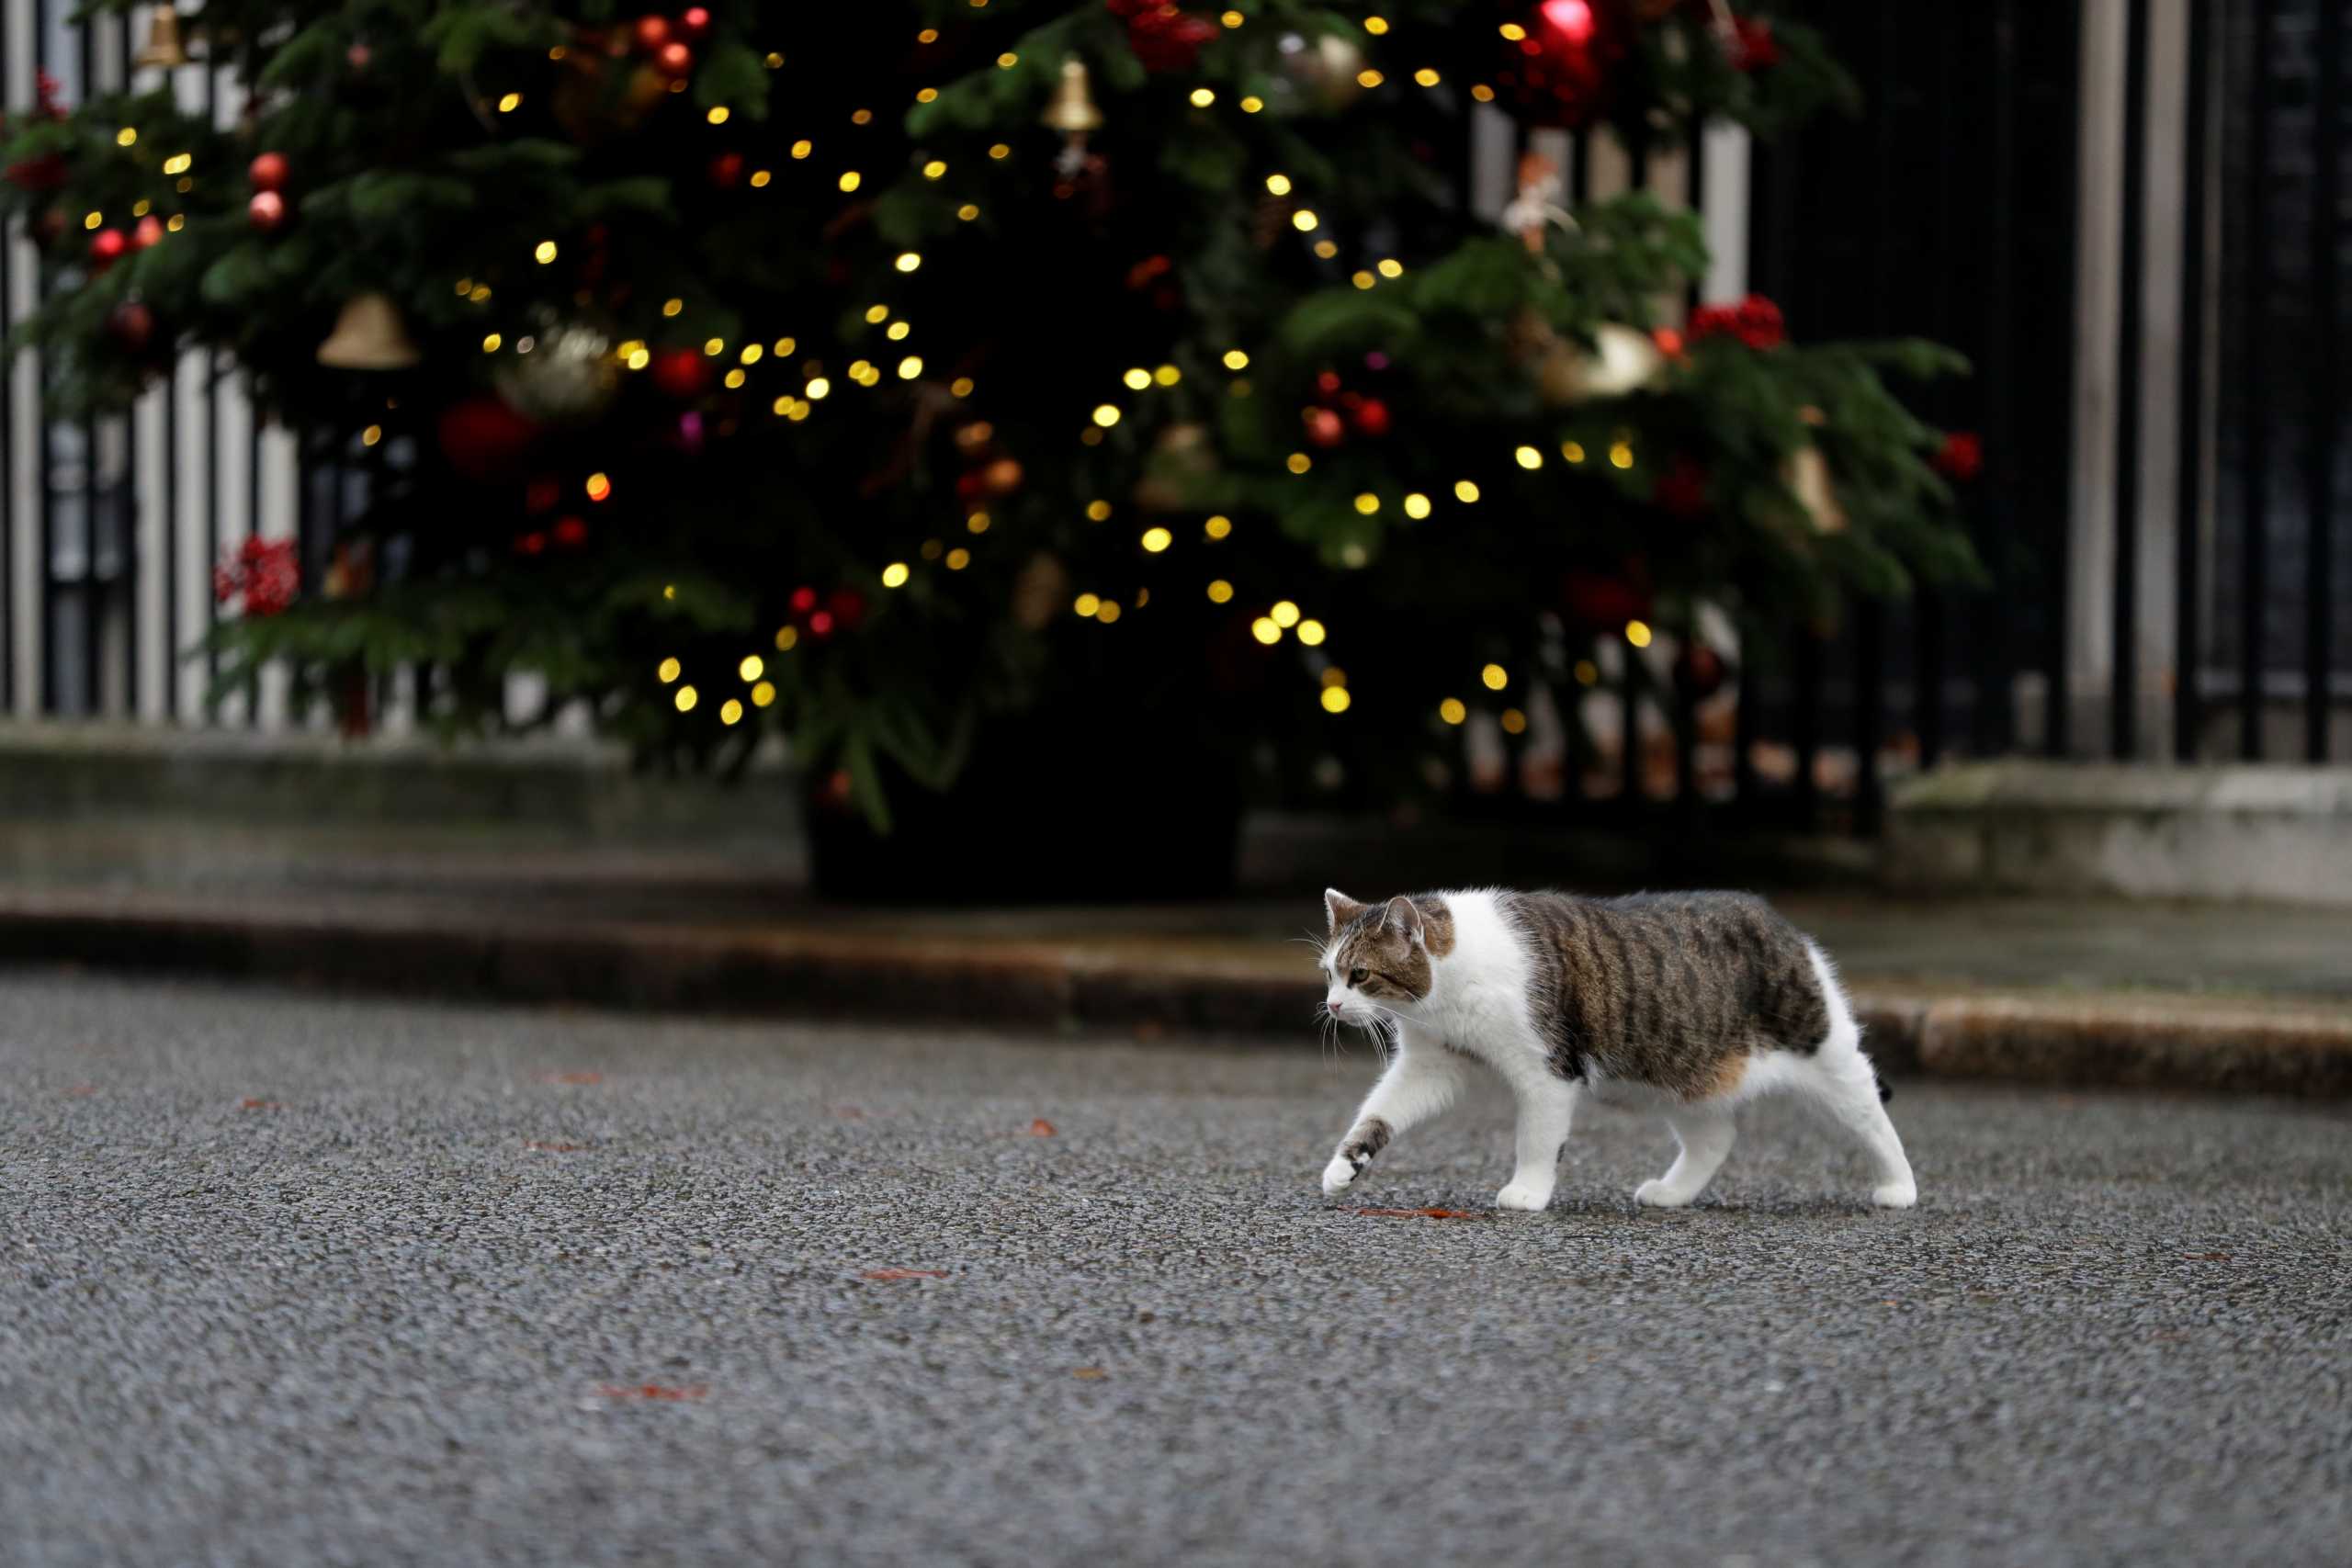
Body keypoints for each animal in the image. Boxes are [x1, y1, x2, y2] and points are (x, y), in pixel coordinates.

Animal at [1317, 884, 1918, 1213]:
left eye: (1360, 974)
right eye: (1329, 974)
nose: (1333, 1006)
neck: (1451, 977)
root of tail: (1784, 925)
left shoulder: (1546, 1072)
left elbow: (1537, 1141)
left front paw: (1527, 1193)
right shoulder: (1433, 1065)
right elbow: (1380, 1112)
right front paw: (1345, 1165)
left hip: (1825, 1056)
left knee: (1871, 1116)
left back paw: (1899, 1187)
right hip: (1675, 1071)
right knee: (1715, 1137)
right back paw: (1673, 1193)